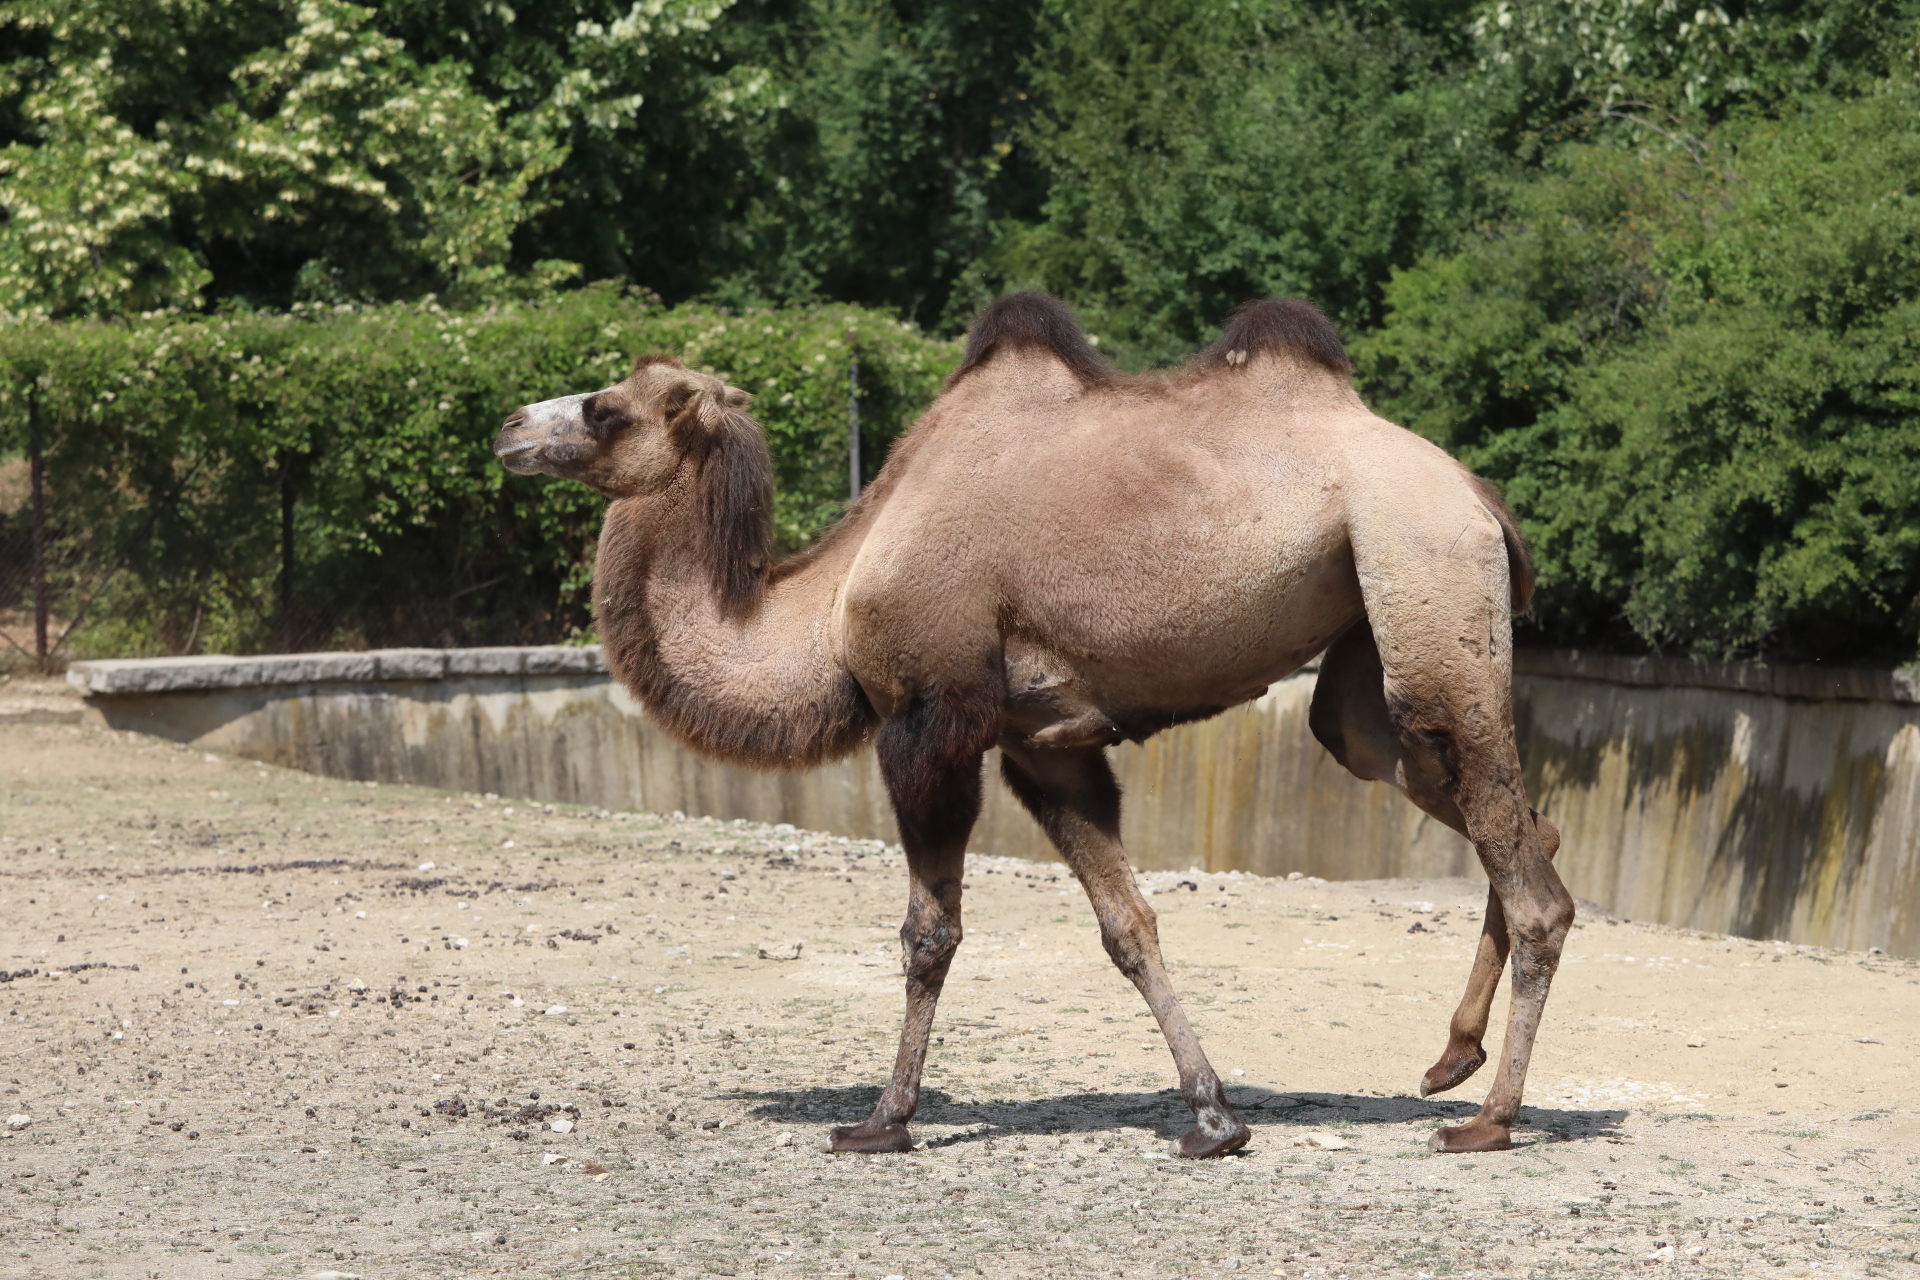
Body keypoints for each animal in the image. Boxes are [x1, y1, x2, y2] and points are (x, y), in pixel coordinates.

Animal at [495, 295, 1574, 1159]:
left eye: (606, 409)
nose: (507, 425)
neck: (831, 602)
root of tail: (1482, 497)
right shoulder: (1043, 748)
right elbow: (1128, 925)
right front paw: (1214, 1118)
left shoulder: (929, 721)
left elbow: (930, 932)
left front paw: (883, 1119)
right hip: (1368, 647)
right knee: (1496, 810)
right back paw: (1450, 1057)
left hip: (1423, 569)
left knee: (1530, 874)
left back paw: (1488, 1119)